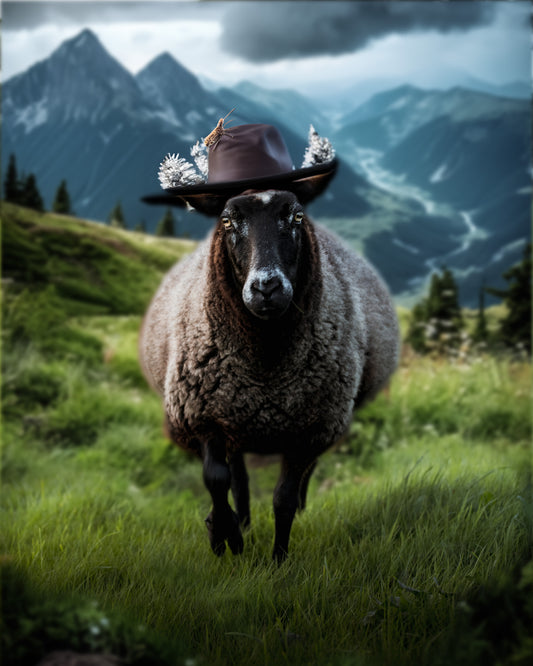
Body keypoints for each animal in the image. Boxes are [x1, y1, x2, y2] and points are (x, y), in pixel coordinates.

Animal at [140, 123, 399, 562]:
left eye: (296, 216)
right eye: (228, 220)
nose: (266, 288)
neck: (265, 358)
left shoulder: (310, 428)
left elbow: (282, 498)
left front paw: (278, 559)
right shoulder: (203, 415)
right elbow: (216, 480)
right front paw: (225, 536)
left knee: (295, 479)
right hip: (235, 418)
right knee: (238, 474)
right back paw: (240, 522)